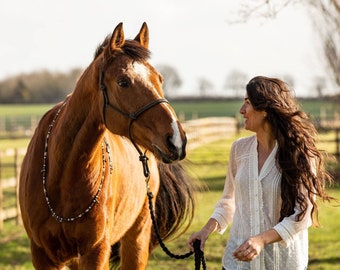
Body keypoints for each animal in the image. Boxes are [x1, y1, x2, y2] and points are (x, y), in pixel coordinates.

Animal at [19, 22, 194, 270]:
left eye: (159, 79)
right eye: (123, 82)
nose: (176, 140)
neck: (61, 175)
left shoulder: (95, 251)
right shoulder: (44, 256)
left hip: (136, 241)